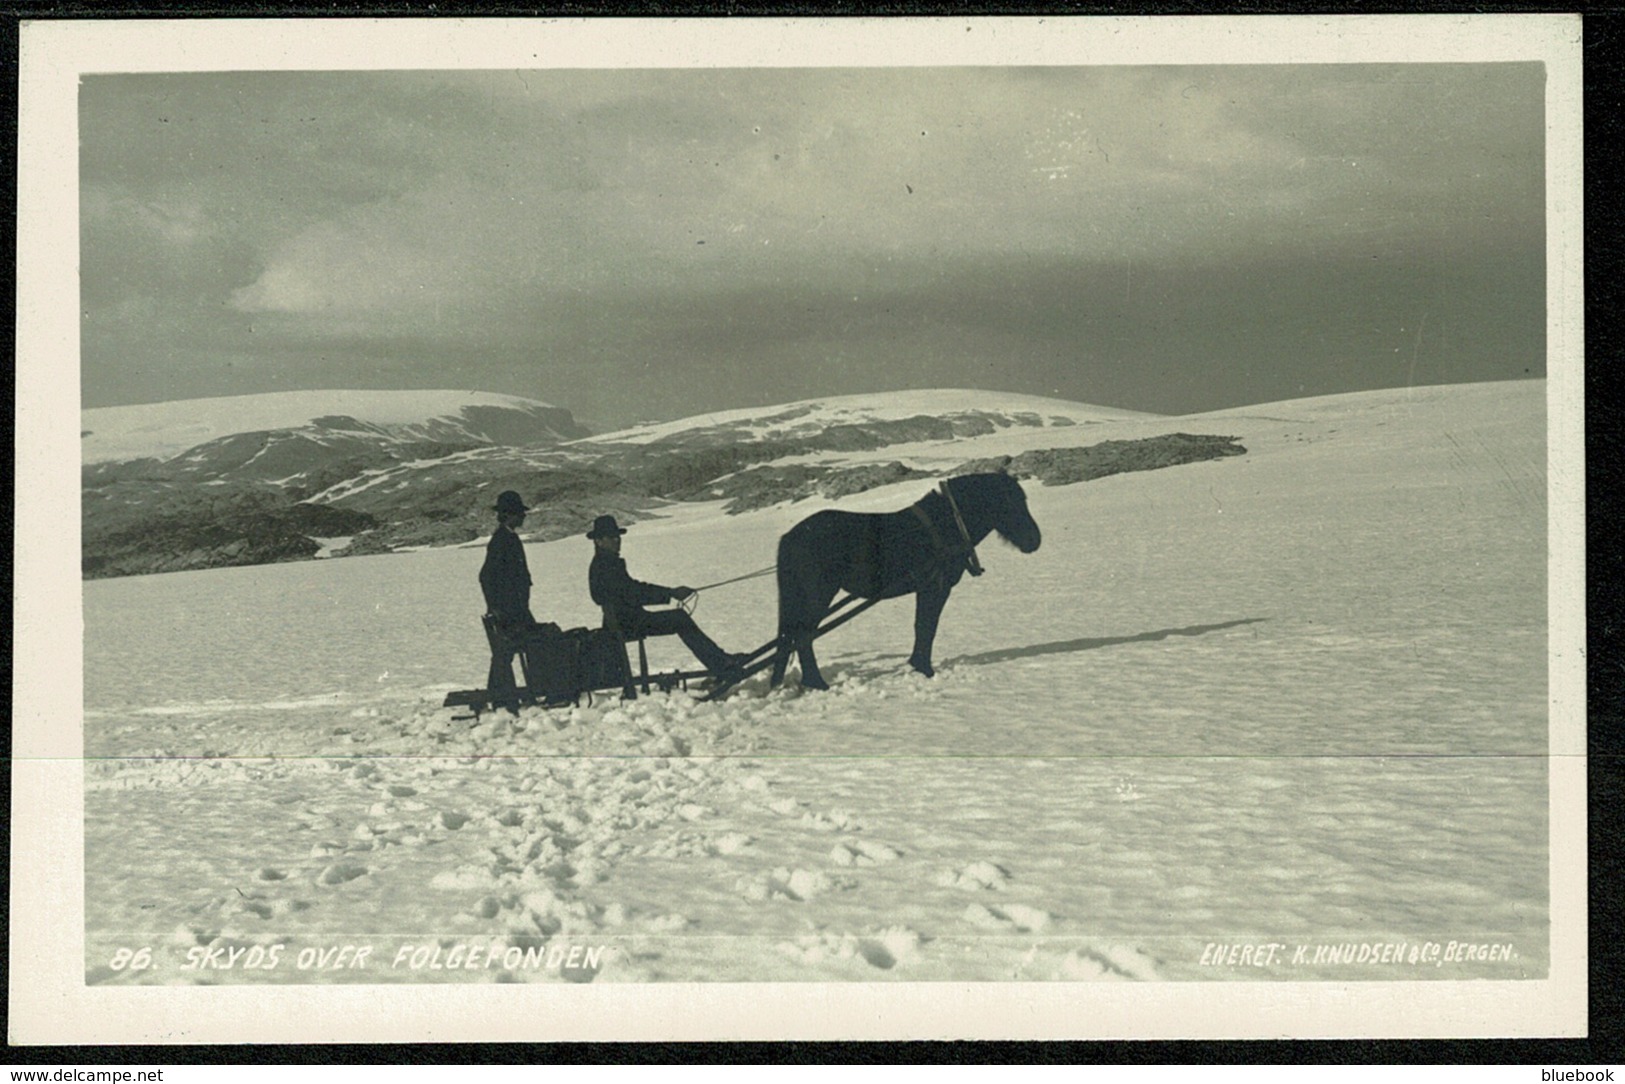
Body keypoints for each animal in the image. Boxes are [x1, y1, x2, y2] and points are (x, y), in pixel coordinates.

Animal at [770, 471, 1040, 692]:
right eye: (1011, 502)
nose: (1035, 540)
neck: (948, 523)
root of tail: (790, 537)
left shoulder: (926, 589)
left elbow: (922, 626)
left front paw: (918, 666)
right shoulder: (936, 587)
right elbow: (927, 627)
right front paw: (925, 669)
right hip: (819, 595)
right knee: (804, 637)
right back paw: (817, 683)